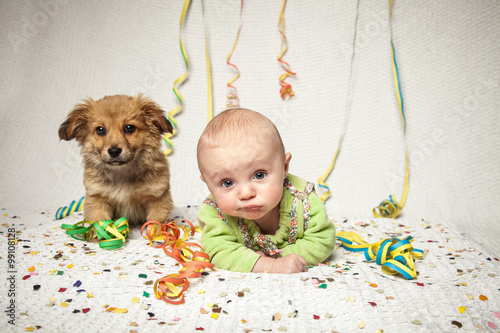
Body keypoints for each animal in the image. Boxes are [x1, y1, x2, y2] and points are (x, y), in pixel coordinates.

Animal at [59, 94, 174, 226]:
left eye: (129, 128)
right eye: (100, 129)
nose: (114, 151)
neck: (122, 173)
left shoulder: (157, 197)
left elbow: (155, 222)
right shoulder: (97, 198)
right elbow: (100, 221)